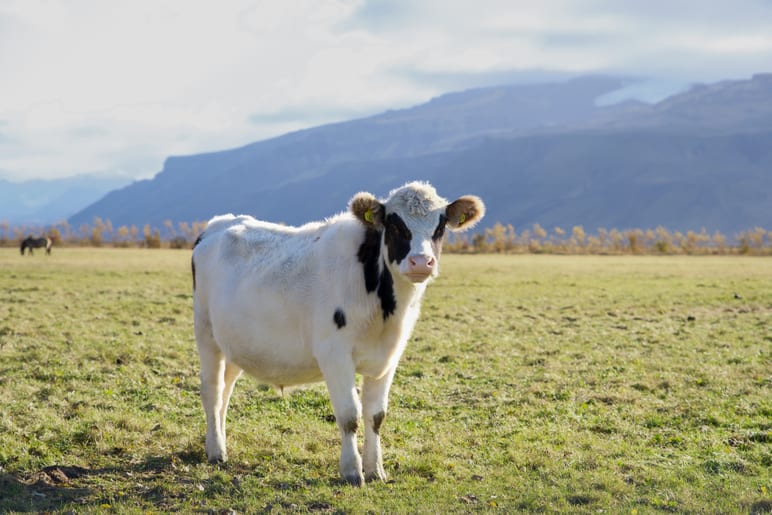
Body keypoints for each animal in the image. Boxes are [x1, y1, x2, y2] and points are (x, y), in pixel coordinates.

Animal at [191, 181, 485, 485]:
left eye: (440, 227)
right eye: (394, 225)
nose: (421, 262)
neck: (385, 308)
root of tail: (219, 223)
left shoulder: (388, 358)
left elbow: (376, 415)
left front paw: (376, 469)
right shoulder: (334, 355)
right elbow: (349, 415)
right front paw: (352, 470)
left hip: (235, 344)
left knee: (224, 392)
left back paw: (220, 443)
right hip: (206, 334)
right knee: (212, 391)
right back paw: (215, 451)